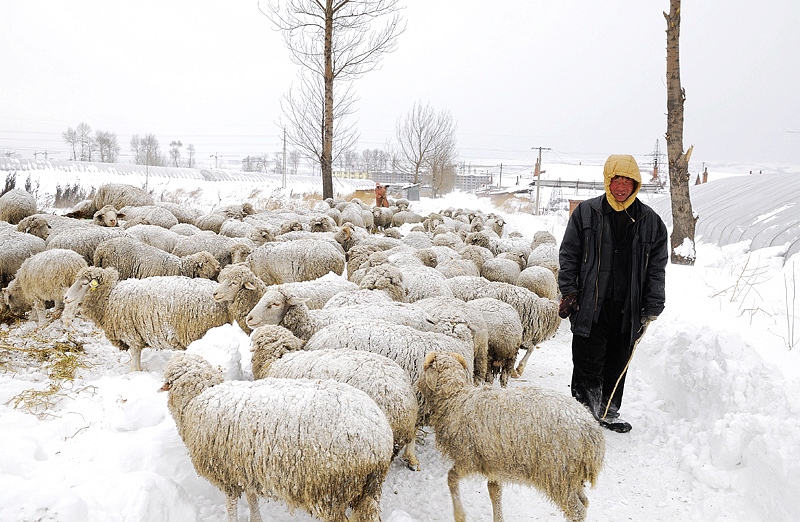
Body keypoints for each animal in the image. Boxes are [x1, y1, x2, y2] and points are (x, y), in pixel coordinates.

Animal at [63, 266, 231, 372]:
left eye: (85, 283)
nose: (65, 297)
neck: (109, 297)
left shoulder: (131, 334)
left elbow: (135, 355)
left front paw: (134, 372)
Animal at [160, 352, 394, 520]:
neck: (198, 398)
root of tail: (380, 437)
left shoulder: (226, 473)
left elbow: (232, 506)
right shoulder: (245, 469)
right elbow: (252, 499)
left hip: (331, 490)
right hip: (367, 490)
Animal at [416, 350, 604, 520]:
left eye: (425, 368)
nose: (416, 384)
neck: (455, 399)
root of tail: (592, 433)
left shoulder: (468, 457)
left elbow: (451, 478)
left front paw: (460, 515)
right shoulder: (493, 464)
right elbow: (494, 491)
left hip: (558, 474)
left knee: (577, 510)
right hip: (573, 476)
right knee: (585, 501)